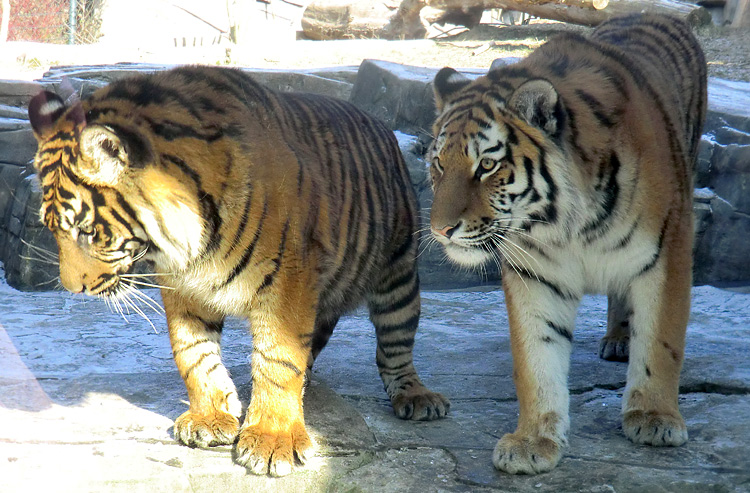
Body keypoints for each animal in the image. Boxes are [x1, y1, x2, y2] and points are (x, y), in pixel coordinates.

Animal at [27, 64, 452, 476]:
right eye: (51, 229)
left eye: (87, 231)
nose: (73, 288)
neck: (193, 240)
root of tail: (381, 125)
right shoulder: (183, 285)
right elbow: (193, 352)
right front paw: (210, 418)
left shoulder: (288, 279)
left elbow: (278, 357)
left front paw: (272, 440)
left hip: (399, 274)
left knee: (395, 345)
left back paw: (417, 397)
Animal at [426, 12, 708, 472]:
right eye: (438, 164)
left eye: (486, 165)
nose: (440, 230)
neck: (566, 222)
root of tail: (654, 12)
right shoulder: (536, 273)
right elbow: (537, 358)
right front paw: (533, 439)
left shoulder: (668, 249)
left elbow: (660, 341)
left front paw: (654, 417)